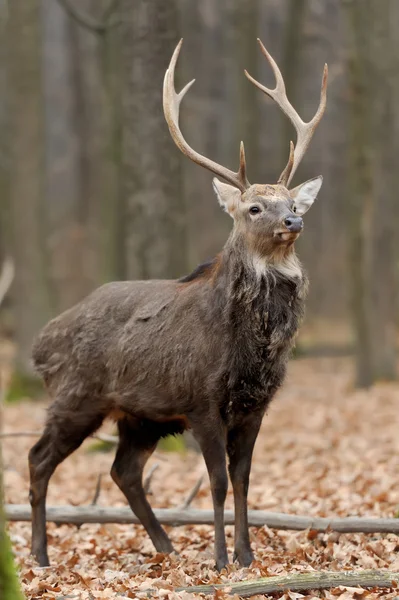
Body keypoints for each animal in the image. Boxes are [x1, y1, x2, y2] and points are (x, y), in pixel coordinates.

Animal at [28, 38, 328, 572]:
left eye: (292, 200)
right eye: (255, 207)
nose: (293, 220)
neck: (248, 352)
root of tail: (41, 343)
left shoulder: (256, 407)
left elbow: (244, 480)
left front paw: (246, 556)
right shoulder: (201, 401)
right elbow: (217, 481)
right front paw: (221, 560)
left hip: (138, 416)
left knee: (123, 470)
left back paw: (165, 547)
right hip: (75, 396)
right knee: (38, 460)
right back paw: (40, 556)